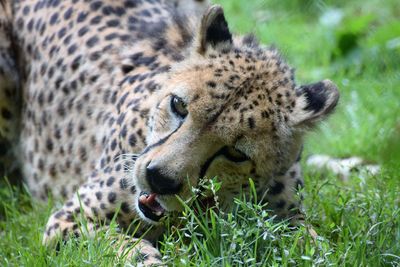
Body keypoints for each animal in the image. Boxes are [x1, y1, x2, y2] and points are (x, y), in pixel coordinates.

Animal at [0, 0, 340, 266]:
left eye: (235, 152)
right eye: (179, 104)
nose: (159, 179)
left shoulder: (286, 218)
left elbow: (318, 247)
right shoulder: (67, 220)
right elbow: (116, 243)